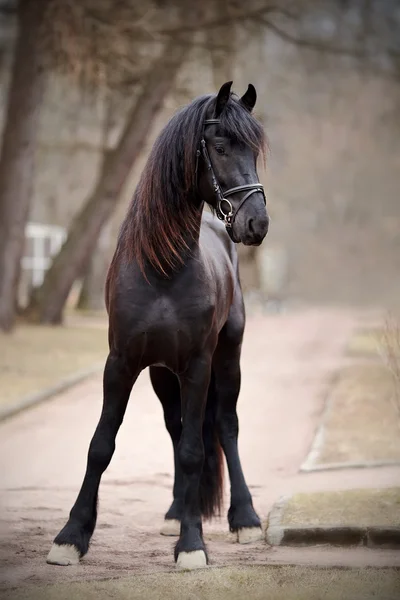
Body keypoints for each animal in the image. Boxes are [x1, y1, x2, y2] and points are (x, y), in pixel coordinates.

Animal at [48, 82, 270, 568]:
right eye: (221, 146)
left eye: (255, 151)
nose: (257, 223)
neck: (163, 270)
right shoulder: (122, 363)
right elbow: (101, 445)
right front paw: (71, 537)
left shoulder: (198, 366)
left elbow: (193, 451)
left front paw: (191, 546)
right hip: (161, 374)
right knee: (176, 426)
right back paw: (174, 511)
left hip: (227, 357)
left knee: (224, 426)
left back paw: (243, 518)